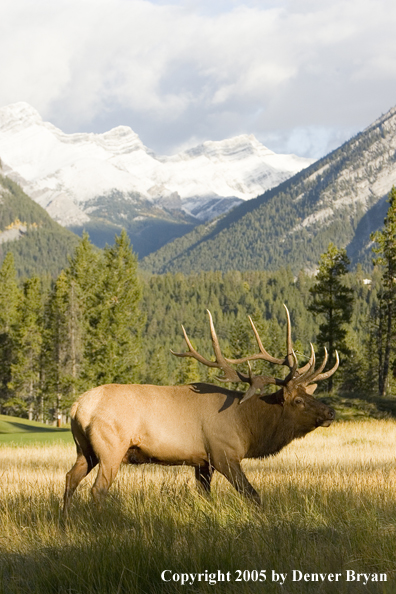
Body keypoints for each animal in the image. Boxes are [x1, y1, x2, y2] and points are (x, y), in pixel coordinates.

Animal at [62, 306, 338, 512]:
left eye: (309, 394)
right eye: (298, 400)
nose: (330, 413)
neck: (247, 426)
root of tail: (76, 407)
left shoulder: (203, 462)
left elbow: (206, 496)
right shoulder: (223, 453)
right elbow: (252, 495)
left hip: (85, 450)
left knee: (69, 478)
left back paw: (66, 522)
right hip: (111, 448)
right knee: (97, 489)